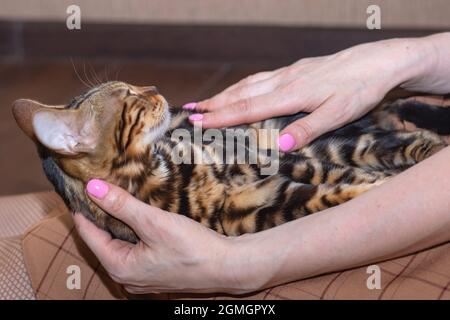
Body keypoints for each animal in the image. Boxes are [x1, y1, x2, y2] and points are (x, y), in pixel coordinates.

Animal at [11, 82, 450, 242]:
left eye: (133, 86)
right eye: (130, 97)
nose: (155, 89)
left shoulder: (273, 160)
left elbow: (335, 177)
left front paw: (382, 185)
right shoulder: (250, 211)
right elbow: (327, 195)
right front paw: (375, 188)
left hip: (317, 135)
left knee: (400, 138)